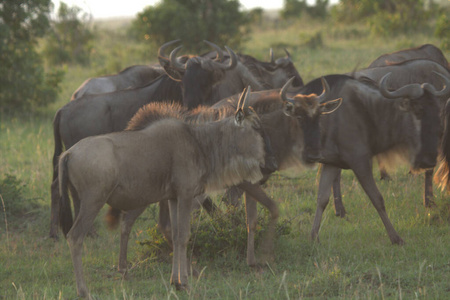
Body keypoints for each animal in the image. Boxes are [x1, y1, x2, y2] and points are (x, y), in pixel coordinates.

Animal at [57, 87, 268, 298]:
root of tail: (68, 154)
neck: (198, 142)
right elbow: (183, 236)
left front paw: (176, 281)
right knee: (75, 237)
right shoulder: (185, 195)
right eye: (256, 127)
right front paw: (185, 282)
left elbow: (174, 234)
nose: (265, 165)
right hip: (93, 202)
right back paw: (83, 291)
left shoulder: (173, 198)